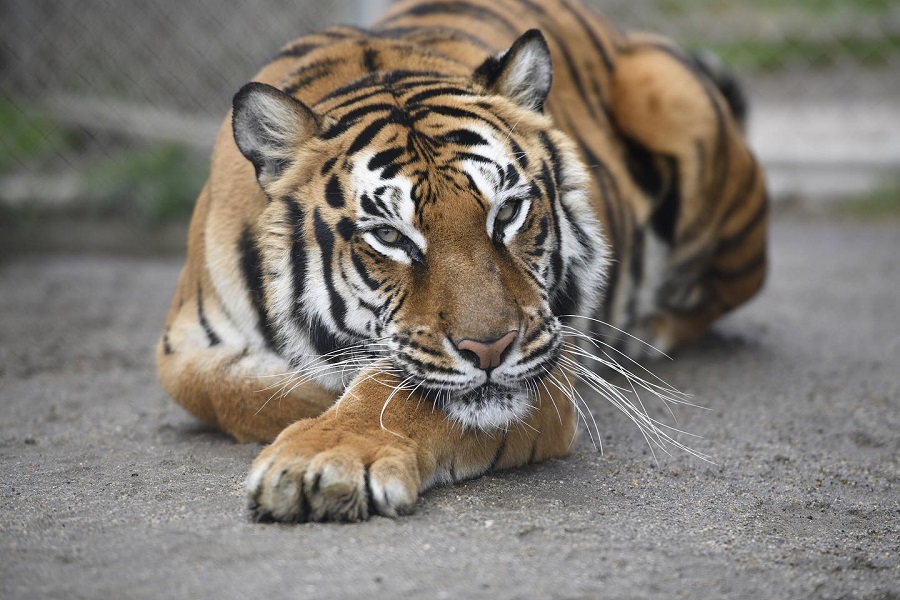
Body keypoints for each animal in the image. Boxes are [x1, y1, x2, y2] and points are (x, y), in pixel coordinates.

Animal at [156, 0, 767, 522]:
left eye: (509, 211)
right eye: (389, 235)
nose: (491, 349)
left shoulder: (550, 366)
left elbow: (397, 395)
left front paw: (321, 457)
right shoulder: (179, 347)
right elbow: (229, 391)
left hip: (674, 103)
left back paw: (648, 332)